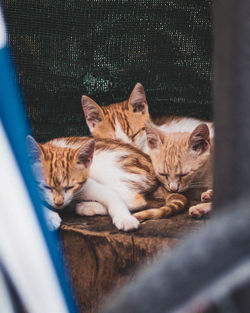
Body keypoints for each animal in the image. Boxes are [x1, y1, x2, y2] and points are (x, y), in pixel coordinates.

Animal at [27, 135, 188, 230]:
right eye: (45, 186)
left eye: (70, 187)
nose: (59, 203)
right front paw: (49, 216)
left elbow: (114, 198)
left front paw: (125, 219)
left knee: (135, 200)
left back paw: (87, 207)